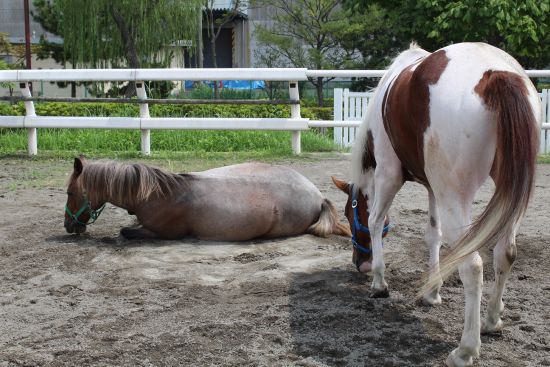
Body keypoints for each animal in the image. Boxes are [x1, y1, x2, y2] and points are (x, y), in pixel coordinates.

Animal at [63, 158, 350, 242]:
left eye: (69, 193)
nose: (69, 226)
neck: (160, 193)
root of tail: (318, 196)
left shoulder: (163, 233)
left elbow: (126, 231)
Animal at [334, 41, 540, 366]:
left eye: (348, 214)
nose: (360, 264)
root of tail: (495, 75)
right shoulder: (433, 187)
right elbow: (433, 235)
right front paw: (432, 291)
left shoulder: (388, 174)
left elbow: (376, 221)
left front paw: (379, 282)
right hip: (507, 194)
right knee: (504, 253)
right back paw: (492, 320)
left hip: (454, 196)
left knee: (472, 265)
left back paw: (466, 349)